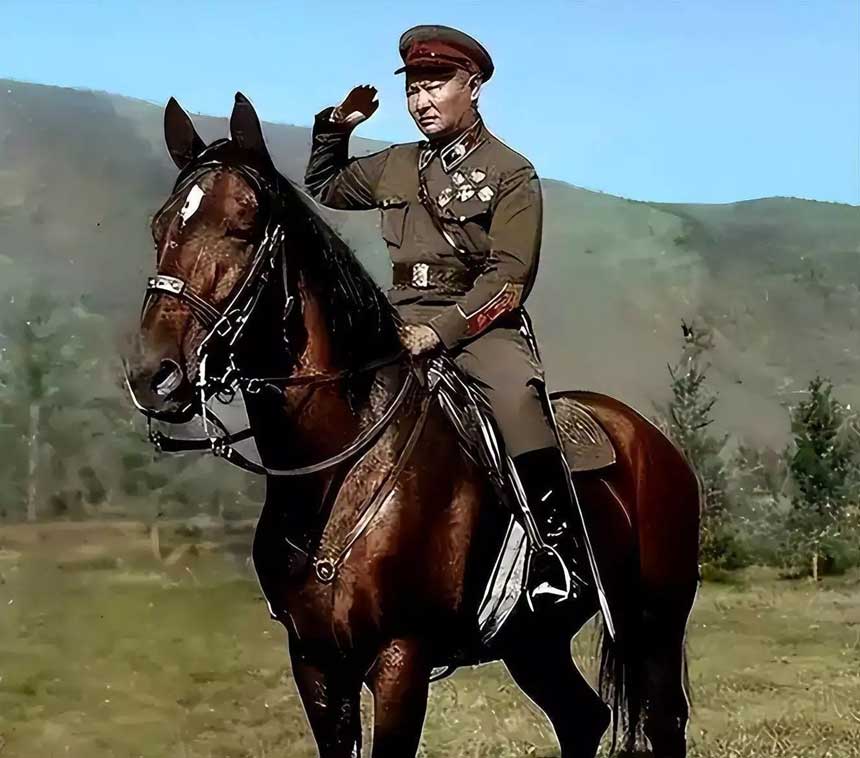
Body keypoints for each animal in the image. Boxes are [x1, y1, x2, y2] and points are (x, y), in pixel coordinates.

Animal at [125, 93, 701, 758]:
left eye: (242, 223)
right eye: (160, 226)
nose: (153, 376)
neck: (339, 470)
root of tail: (651, 440)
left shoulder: (402, 660)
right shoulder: (315, 663)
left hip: (656, 624)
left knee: (663, 723)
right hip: (535, 643)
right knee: (582, 718)